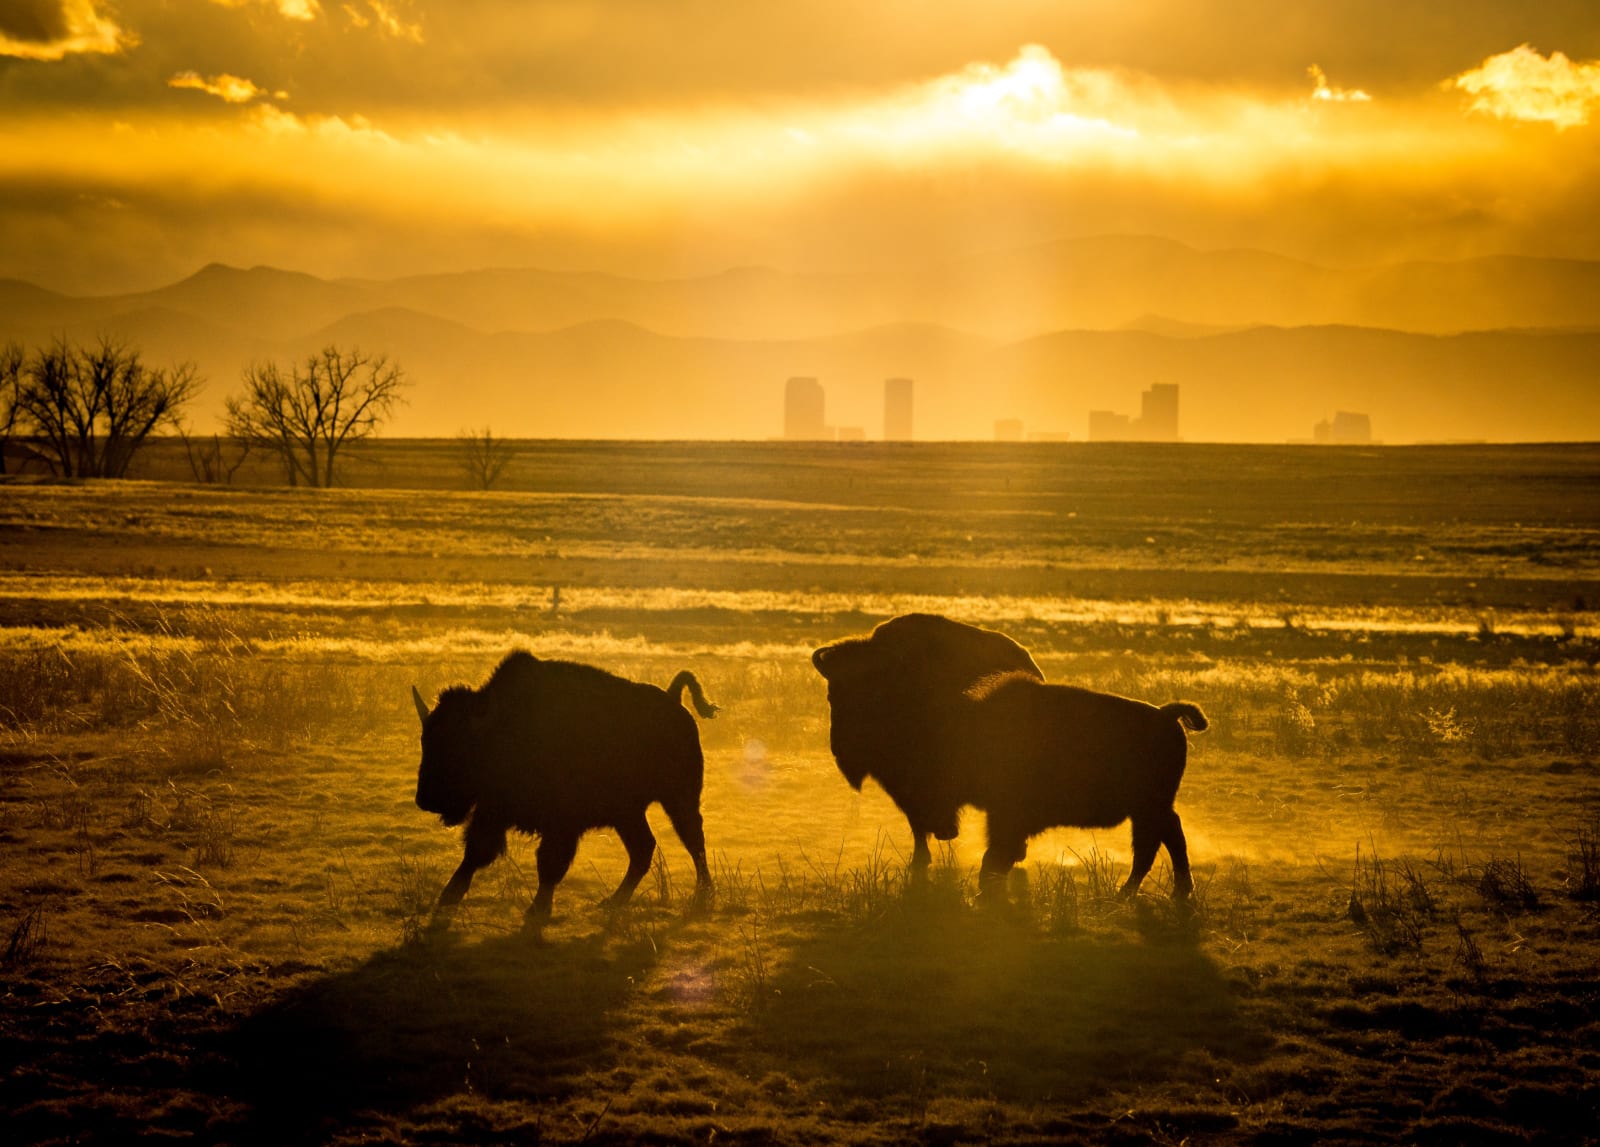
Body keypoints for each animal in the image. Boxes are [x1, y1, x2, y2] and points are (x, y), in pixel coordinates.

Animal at [411, 651, 717, 931]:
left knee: (693, 840)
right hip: (627, 814)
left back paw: (703, 895)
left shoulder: (562, 824)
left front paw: (537, 910)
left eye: (459, 747)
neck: (504, 727)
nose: (424, 799)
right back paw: (613, 902)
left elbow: (549, 863)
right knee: (643, 848)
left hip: (678, 800)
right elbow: (476, 852)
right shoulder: (493, 812)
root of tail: (674, 700)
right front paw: (447, 898)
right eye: (425, 741)